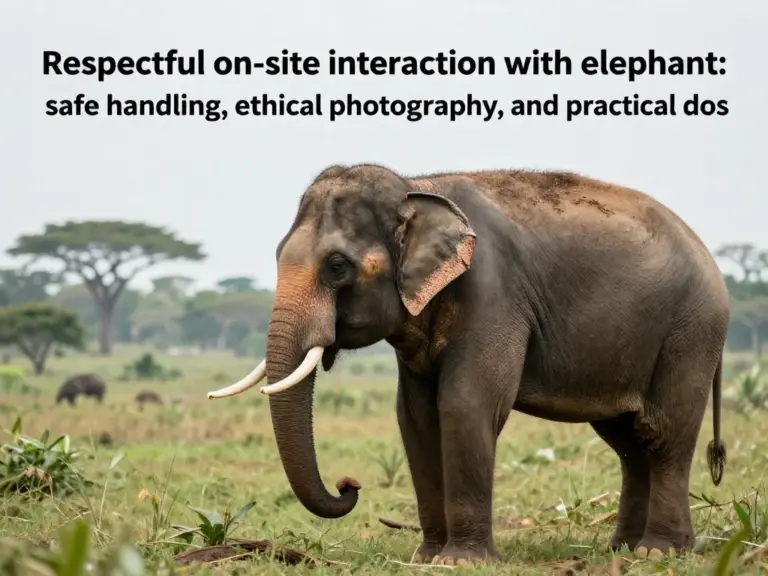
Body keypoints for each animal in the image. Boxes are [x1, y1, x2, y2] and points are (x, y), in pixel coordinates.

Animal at [207, 164, 729, 565]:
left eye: (337, 266)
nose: (348, 484)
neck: (417, 185)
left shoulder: (492, 294)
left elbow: (465, 405)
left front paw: (459, 562)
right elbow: (416, 418)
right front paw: (426, 558)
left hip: (690, 332)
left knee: (664, 433)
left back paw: (659, 552)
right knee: (627, 441)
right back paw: (624, 549)